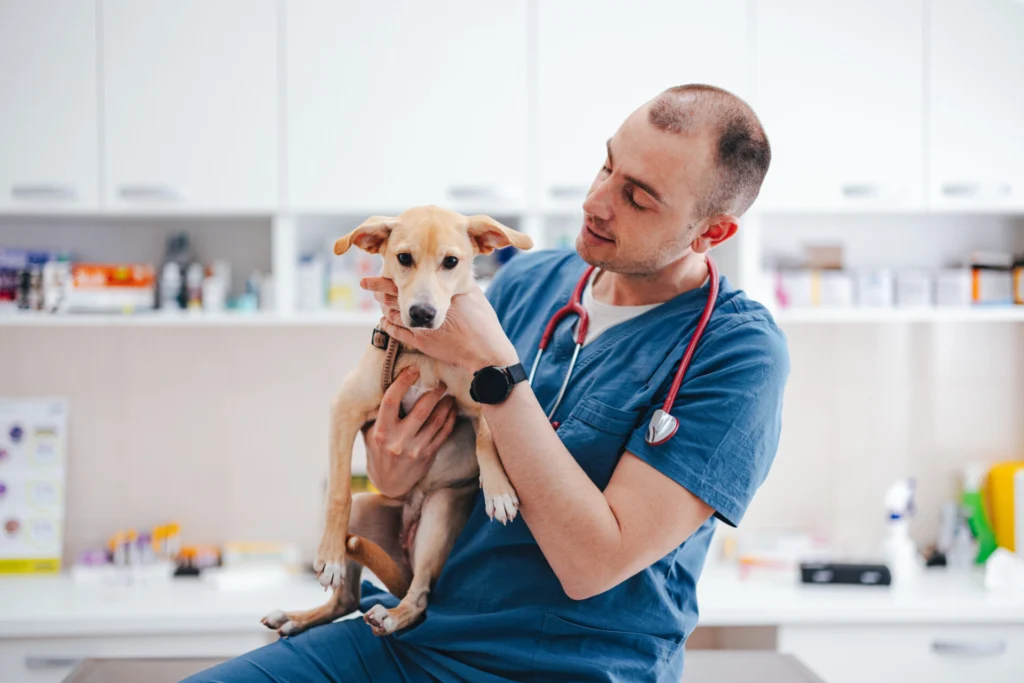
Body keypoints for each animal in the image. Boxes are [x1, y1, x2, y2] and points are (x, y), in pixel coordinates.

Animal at [264, 205, 532, 638]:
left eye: (451, 262)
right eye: (403, 258)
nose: (422, 314)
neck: (422, 354)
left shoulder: (483, 393)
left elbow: (486, 439)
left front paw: (499, 492)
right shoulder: (344, 408)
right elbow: (337, 491)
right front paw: (329, 557)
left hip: (439, 517)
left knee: (420, 597)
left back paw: (393, 615)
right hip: (363, 515)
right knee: (346, 598)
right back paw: (298, 615)